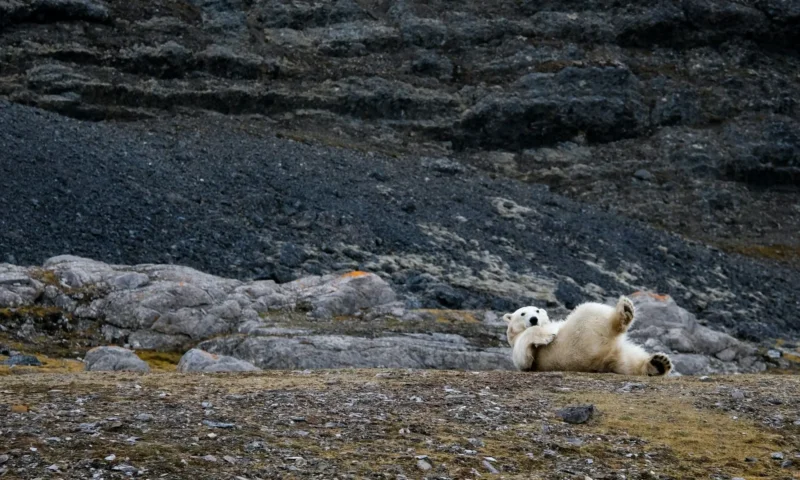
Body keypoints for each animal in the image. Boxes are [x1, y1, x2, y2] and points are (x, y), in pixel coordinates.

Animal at [503, 296, 672, 376]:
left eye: (537, 310)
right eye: (522, 313)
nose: (534, 319)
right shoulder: (522, 349)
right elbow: (524, 358)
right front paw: (548, 335)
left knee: (629, 361)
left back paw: (659, 363)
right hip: (580, 335)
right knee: (590, 309)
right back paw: (624, 311)